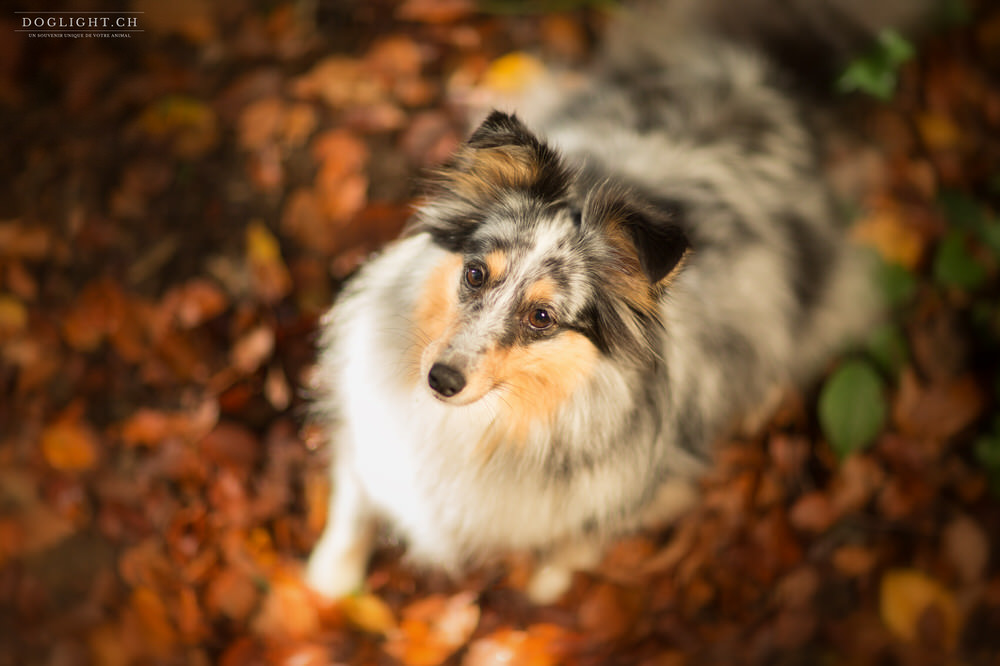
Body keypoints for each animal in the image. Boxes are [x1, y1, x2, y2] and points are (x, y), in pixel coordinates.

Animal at [306, 1, 936, 600]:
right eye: (476, 274)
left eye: (542, 317)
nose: (440, 379)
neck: (490, 421)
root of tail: (764, 80)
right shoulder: (371, 428)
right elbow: (354, 497)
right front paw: (330, 579)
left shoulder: (640, 483)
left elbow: (582, 538)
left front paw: (548, 584)